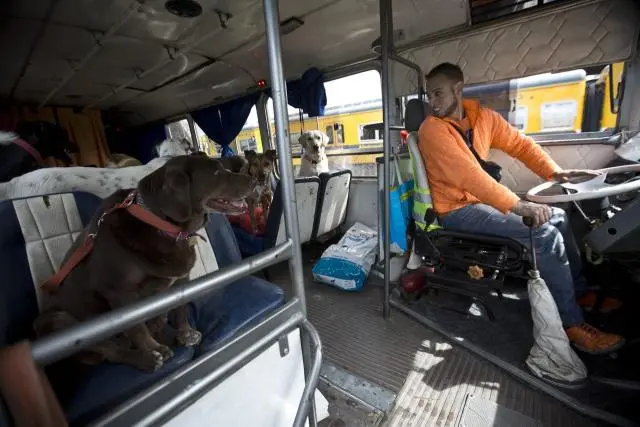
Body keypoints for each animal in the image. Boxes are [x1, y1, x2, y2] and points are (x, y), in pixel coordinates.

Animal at [33, 154, 258, 372]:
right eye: (216, 173)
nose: (255, 180)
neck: (162, 226)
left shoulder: (181, 280)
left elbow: (180, 309)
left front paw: (184, 333)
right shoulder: (120, 294)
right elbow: (138, 328)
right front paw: (153, 349)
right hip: (59, 321)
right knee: (113, 351)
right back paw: (146, 358)